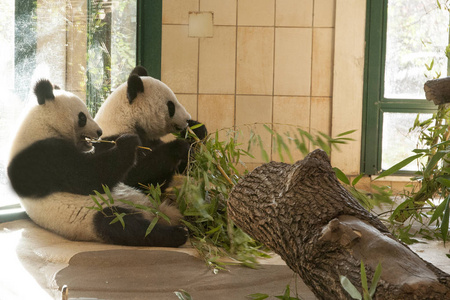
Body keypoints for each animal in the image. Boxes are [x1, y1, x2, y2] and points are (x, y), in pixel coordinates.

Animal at [8, 79, 188, 246]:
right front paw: (129, 143)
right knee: (124, 226)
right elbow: (89, 176)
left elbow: (149, 184)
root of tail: (152, 212)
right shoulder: (41, 156)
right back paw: (178, 233)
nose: (99, 131)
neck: (41, 124)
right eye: (82, 117)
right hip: (97, 214)